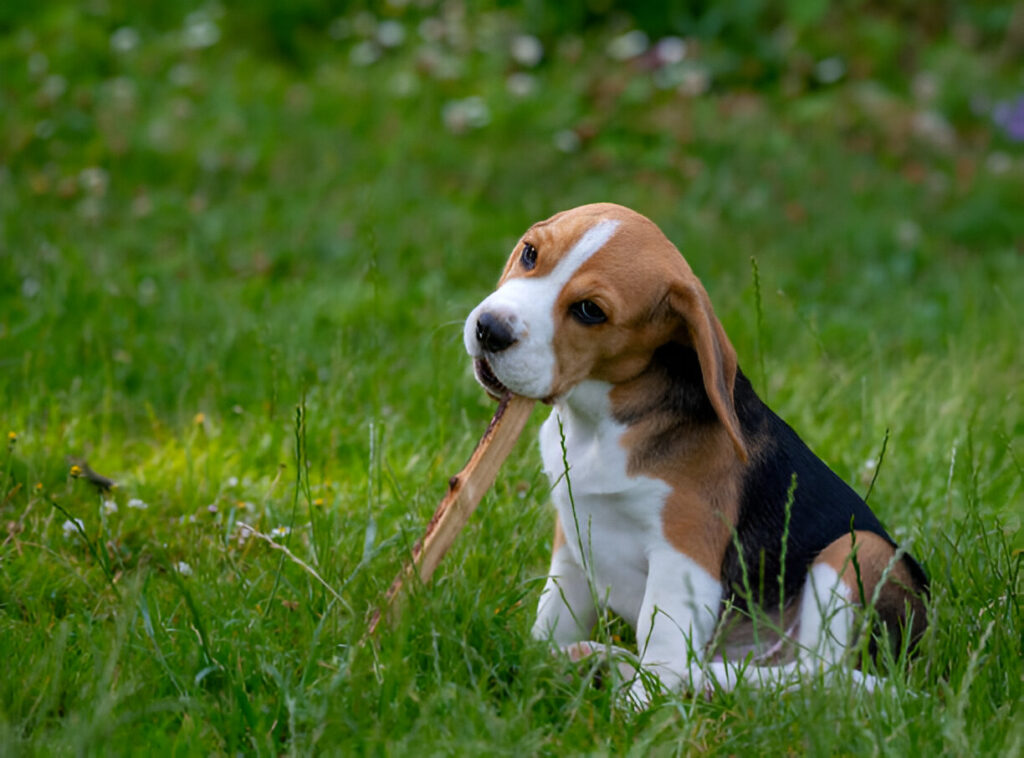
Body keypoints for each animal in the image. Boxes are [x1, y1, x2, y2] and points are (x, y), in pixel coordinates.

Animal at [464, 202, 929, 704]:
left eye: (590, 311)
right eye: (530, 253)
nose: (490, 330)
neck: (602, 423)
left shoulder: (684, 553)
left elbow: (662, 645)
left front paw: (639, 709)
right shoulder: (572, 539)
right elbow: (555, 615)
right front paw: (536, 662)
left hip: (858, 548)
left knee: (819, 674)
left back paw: (696, 677)